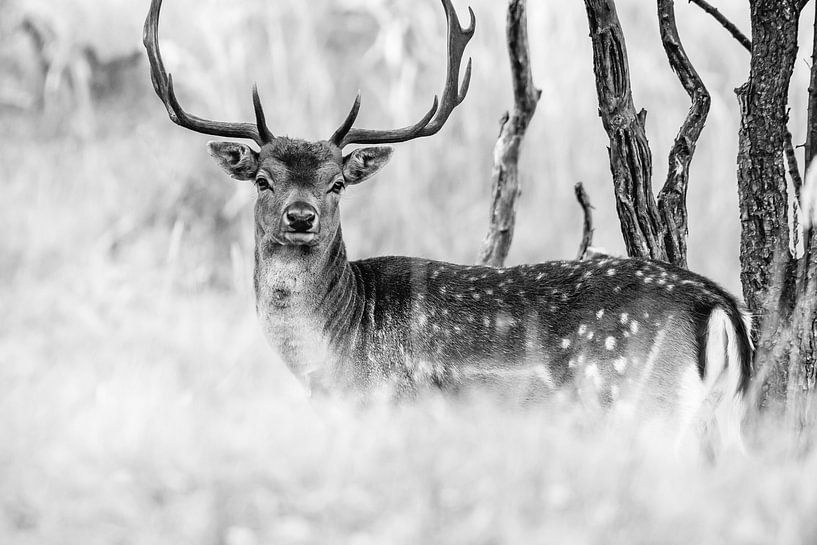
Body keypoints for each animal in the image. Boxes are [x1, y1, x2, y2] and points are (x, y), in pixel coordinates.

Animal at [144, 0, 753, 452]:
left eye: (336, 183)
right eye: (262, 179)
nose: (301, 216)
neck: (336, 352)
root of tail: (719, 306)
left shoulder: (392, 409)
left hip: (644, 405)